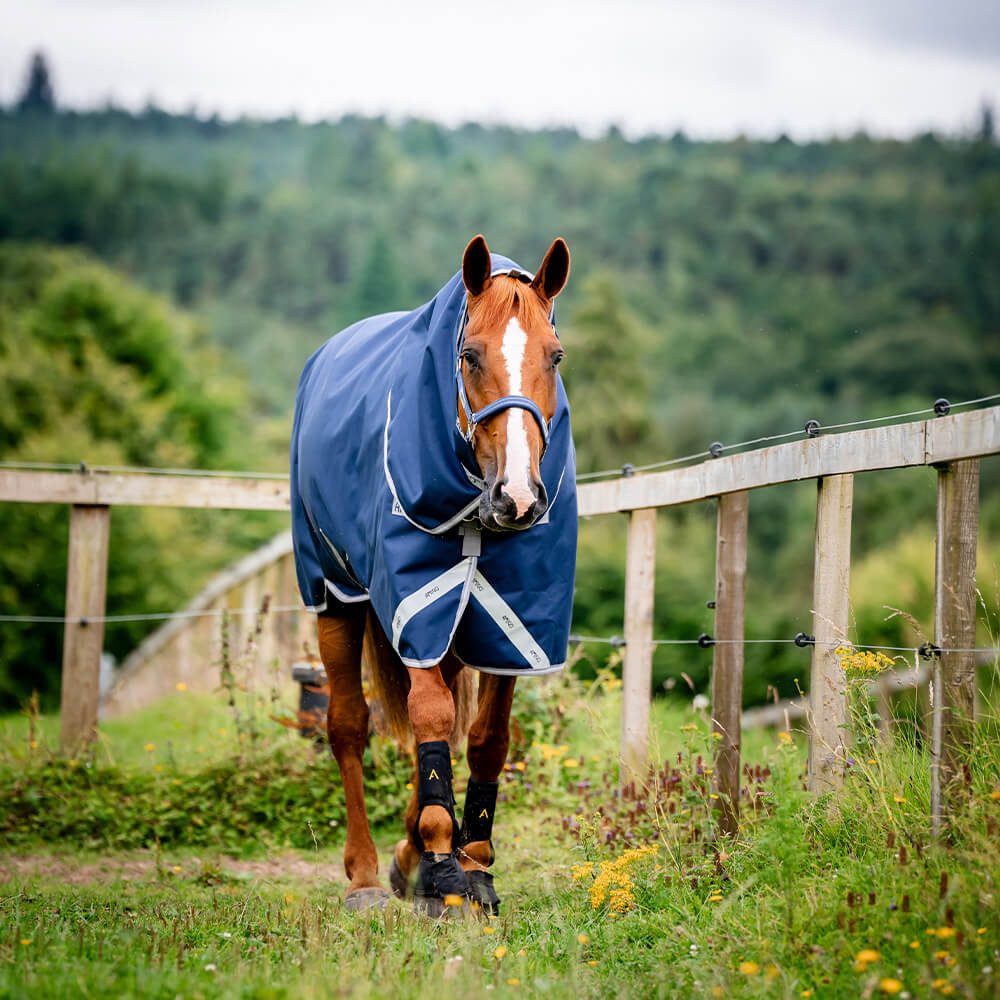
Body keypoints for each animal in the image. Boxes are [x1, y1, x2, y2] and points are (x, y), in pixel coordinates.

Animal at [290, 234, 576, 914]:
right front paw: (444, 863)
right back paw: (367, 874)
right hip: (336, 596)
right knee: (347, 726)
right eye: (469, 355)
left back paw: (406, 855)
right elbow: (428, 717)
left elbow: (486, 737)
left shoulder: (514, 624)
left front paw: (473, 862)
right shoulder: (416, 604)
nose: (518, 498)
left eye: (555, 357)